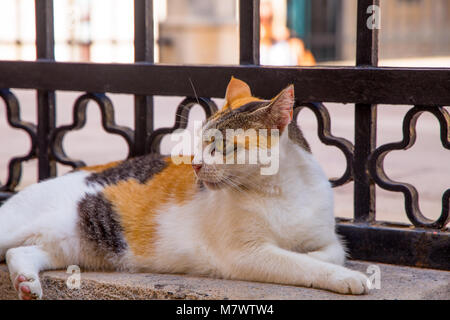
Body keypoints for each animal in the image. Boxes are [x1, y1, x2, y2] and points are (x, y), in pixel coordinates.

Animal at [0, 77, 370, 300]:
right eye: (202, 140)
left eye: (221, 146)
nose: (194, 163)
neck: (281, 191)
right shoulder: (246, 254)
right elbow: (302, 265)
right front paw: (347, 278)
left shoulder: (328, 237)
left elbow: (332, 251)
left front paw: (318, 258)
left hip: (72, 246)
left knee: (20, 252)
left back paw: (27, 284)